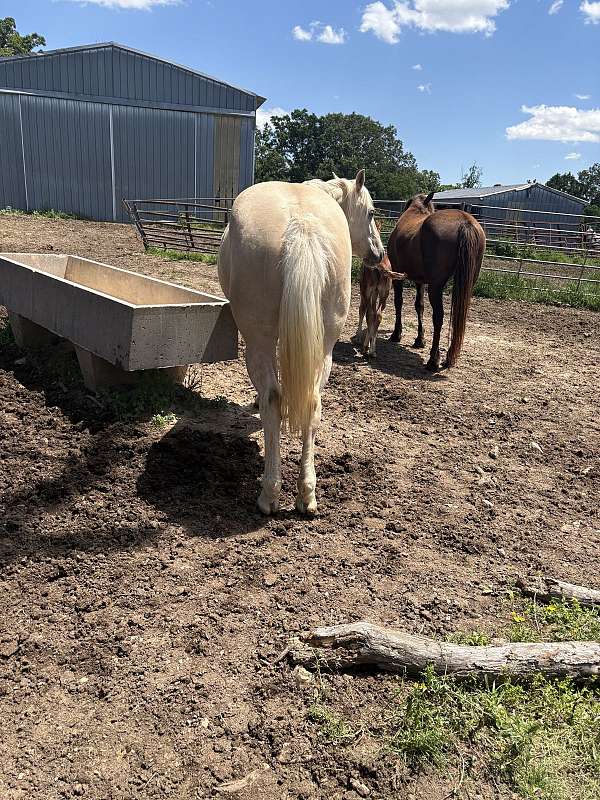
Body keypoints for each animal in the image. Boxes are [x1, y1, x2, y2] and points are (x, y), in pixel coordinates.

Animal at [217, 171, 384, 516]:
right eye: (372, 213)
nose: (379, 254)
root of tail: (302, 227)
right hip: (324, 347)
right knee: (312, 402)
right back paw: (306, 494)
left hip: (258, 343)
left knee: (272, 398)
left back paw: (269, 494)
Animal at [387, 192, 486, 371]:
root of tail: (465, 222)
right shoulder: (420, 281)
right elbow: (419, 306)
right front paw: (420, 339)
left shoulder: (398, 275)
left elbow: (399, 302)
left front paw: (396, 334)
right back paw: (448, 358)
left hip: (436, 286)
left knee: (438, 317)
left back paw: (433, 360)